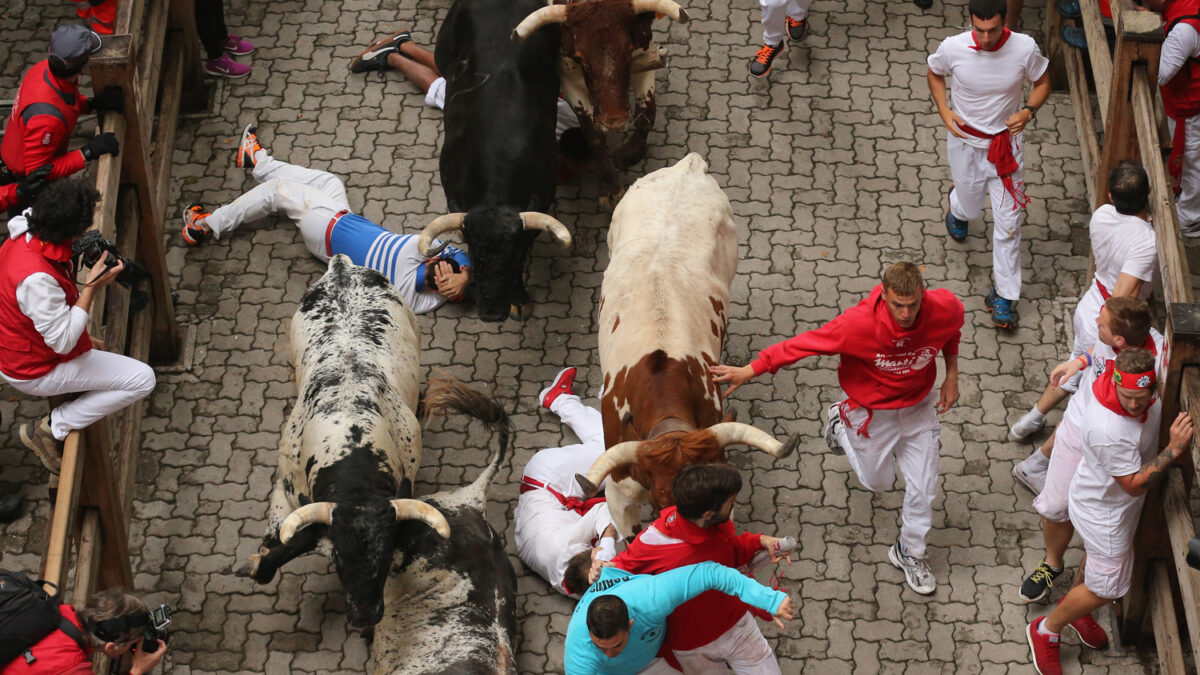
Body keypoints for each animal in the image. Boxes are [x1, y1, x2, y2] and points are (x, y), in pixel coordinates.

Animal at [237, 254, 451, 629]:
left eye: (386, 556)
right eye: (338, 557)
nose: (365, 616)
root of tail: (341, 266)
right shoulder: (285, 489)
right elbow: (285, 537)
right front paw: (261, 563)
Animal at [508, 0, 696, 205]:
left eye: (628, 49)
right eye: (580, 57)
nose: (613, 120)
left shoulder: (646, 53)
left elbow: (646, 113)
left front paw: (629, 154)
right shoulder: (567, 74)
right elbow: (593, 132)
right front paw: (611, 188)